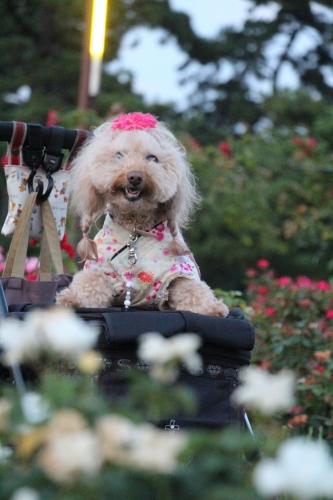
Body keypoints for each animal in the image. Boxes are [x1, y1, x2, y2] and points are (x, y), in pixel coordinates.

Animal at [56, 113, 228, 316]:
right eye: (119, 155)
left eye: (152, 158)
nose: (135, 177)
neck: (135, 226)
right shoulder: (99, 269)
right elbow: (90, 287)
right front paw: (72, 299)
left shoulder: (179, 272)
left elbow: (193, 290)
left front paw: (211, 309)